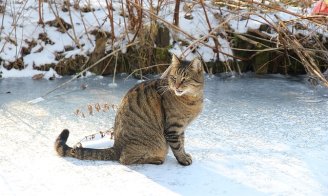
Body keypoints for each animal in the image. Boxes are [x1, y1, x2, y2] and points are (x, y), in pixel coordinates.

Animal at [55, 54, 204, 165]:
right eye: (173, 78)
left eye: (184, 79)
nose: (176, 86)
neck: (193, 99)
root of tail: (116, 147)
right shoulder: (173, 128)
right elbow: (178, 147)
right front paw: (183, 160)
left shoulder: (181, 128)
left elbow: (182, 143)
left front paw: (185, 154)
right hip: (152, 143)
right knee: (124, 159)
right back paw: (155, 159)